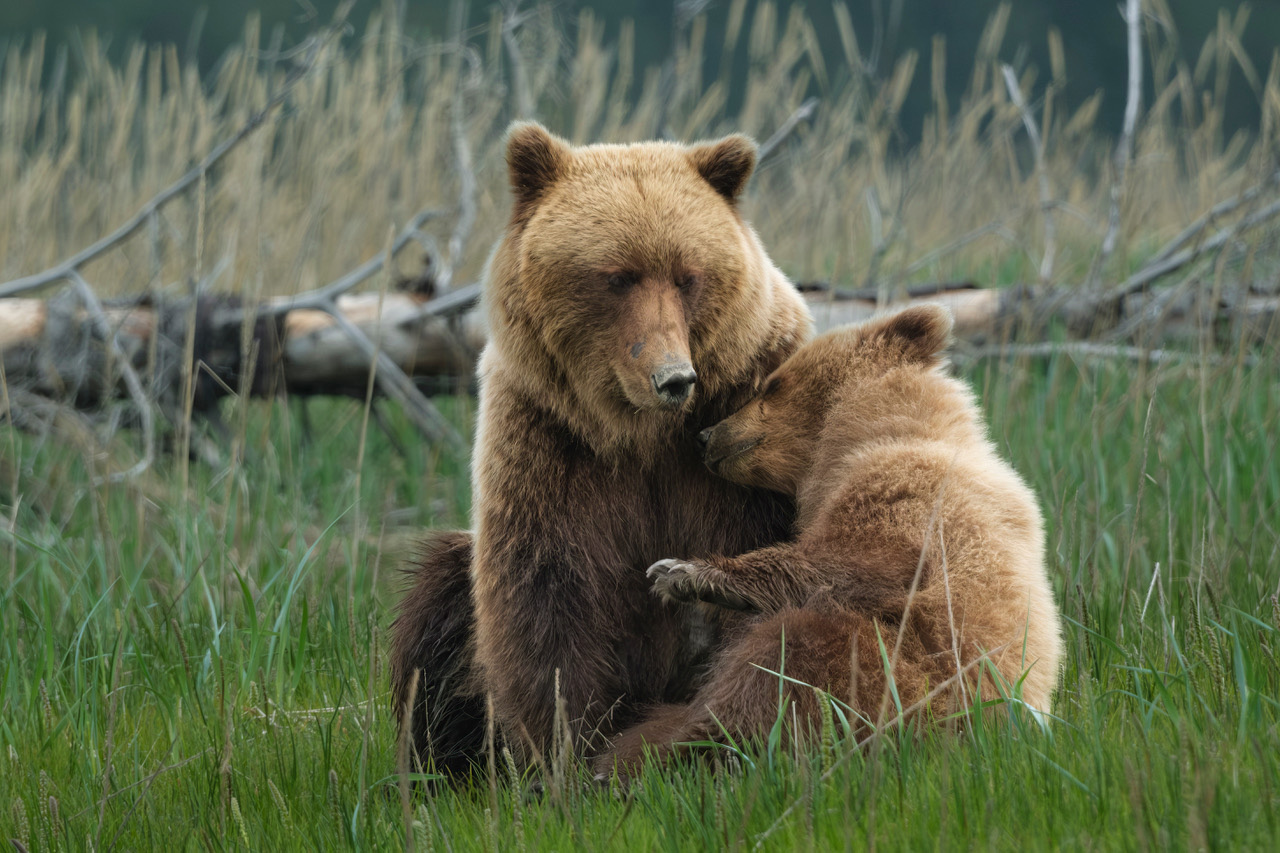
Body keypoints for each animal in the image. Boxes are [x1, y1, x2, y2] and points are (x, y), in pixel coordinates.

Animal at [389, 122, 814, 775]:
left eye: (689, 275)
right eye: (617, 275)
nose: (673, 378)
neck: (643, 434)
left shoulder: (744, 431)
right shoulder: (550, 440)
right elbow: (550, 600)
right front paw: (564, 754)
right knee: (437, 607)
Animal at [594, 304, 1063, 781]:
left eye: (771, 385)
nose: (705, 435)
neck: (862, 438)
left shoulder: (910, 503)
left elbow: (840, 564)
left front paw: (680, 572)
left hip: (918, 688)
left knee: (789, 654)